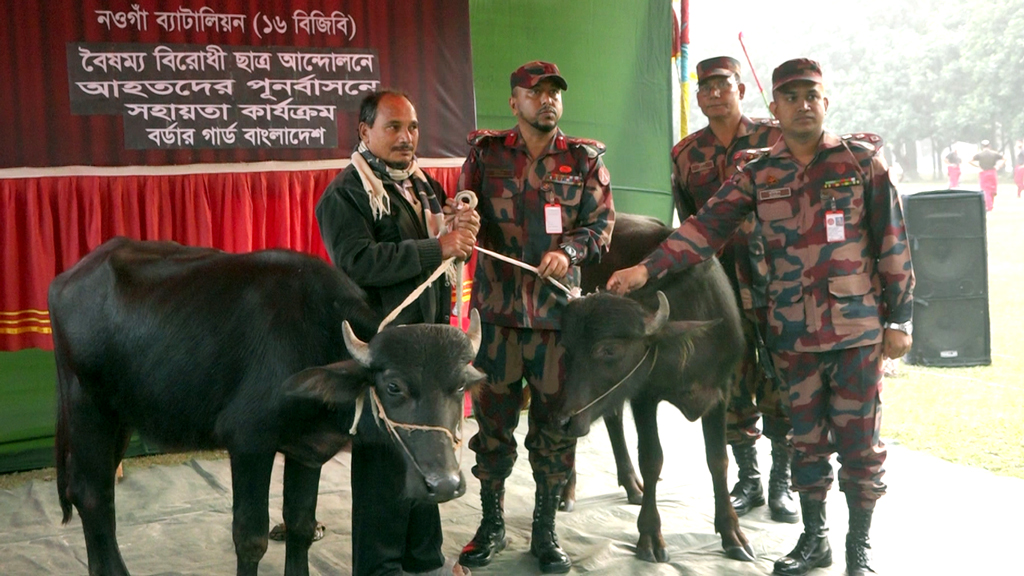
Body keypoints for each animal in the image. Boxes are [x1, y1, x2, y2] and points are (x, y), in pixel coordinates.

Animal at [47, 235, 479, 569]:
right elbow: (250, 538)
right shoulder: (248, 442)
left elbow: (301, 527)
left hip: (119, 415)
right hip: (87, 407)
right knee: (91, 494)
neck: (315, 336)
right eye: (393, 387)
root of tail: (67, 279)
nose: (445, 483)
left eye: (460, 387)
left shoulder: (308, 450)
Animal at [561, 214, 753, 561]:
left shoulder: (720, 393)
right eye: (567, 349)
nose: (566, 419)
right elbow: (652, 459)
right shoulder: (644, 396)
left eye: (608, 349)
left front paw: (732, 532)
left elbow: (718, 460)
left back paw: (631, 484)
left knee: (612, 418)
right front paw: (650, 535)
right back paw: (568, 489)